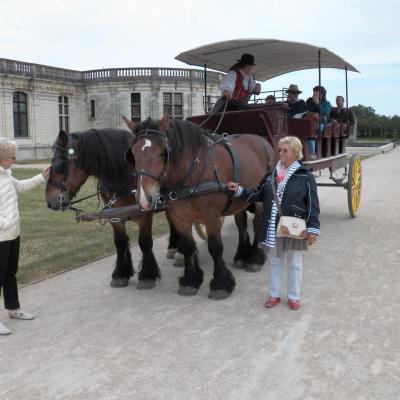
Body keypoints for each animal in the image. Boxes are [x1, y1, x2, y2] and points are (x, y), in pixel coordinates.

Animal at [44, 130, 180, 290]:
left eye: (59, 164)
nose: (50, 201)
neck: (125, 178)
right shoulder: (114, 215)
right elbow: (120, 242)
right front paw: (121, 274)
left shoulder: (144, 213)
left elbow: (145, 242)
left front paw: (147, 276)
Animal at [124, 114, 276, 298]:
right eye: (132, 154)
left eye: (162, 153)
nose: (144, 198)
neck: (193, 172)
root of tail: (263, 141)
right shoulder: (179, 217)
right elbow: (188, 246)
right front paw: (191, 281)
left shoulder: (211, 216)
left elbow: (215, 247)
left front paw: (221, 284)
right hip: (239, 201)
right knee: (241, 224)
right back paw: (241, 256)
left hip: (261, 198)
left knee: (258, 223)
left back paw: (255, 258)